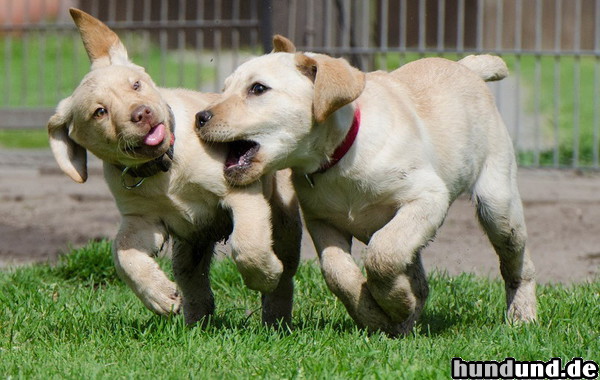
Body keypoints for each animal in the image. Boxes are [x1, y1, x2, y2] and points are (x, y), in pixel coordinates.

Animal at [48, 11, 300, 326]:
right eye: (100, 112)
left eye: (136, 85)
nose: (142, 113)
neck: (165, 167)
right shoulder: (141, 219)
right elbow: (122, 253)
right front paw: (158, 295)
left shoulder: (241, 194)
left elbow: (248, 245)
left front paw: (264, 276)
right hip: (190, 245)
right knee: (192, 279)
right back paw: (197, 323)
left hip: (285, 221)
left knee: (285, 273)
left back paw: (276, 320)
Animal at [196, 34, 536, 334]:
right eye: (224, 89)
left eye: (258, 89)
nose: (200, 117)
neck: (339, 159)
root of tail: (466, 67)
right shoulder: (321, 220)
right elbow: (338, 272)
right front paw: (375, 314)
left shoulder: (427, 198)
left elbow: (381, 254)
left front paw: (395, 302)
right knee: (420, 281)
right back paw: (404, 324)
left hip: (498, 203)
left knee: (517, 263)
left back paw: (522, 316)